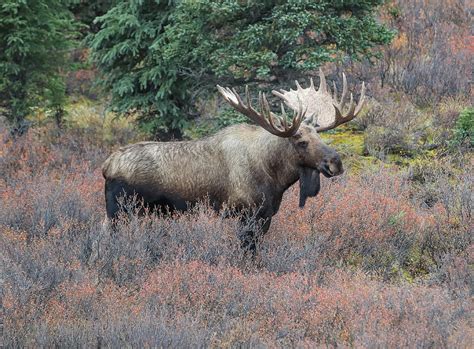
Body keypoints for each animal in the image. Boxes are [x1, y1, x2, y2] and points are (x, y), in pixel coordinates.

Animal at [102, 70, 364, 250]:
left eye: (319, 135)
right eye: (301, 142)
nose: (335, 162)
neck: (275, 177)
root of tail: (107, 166)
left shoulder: (265, 216)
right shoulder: (246, 214)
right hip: (121, 211)